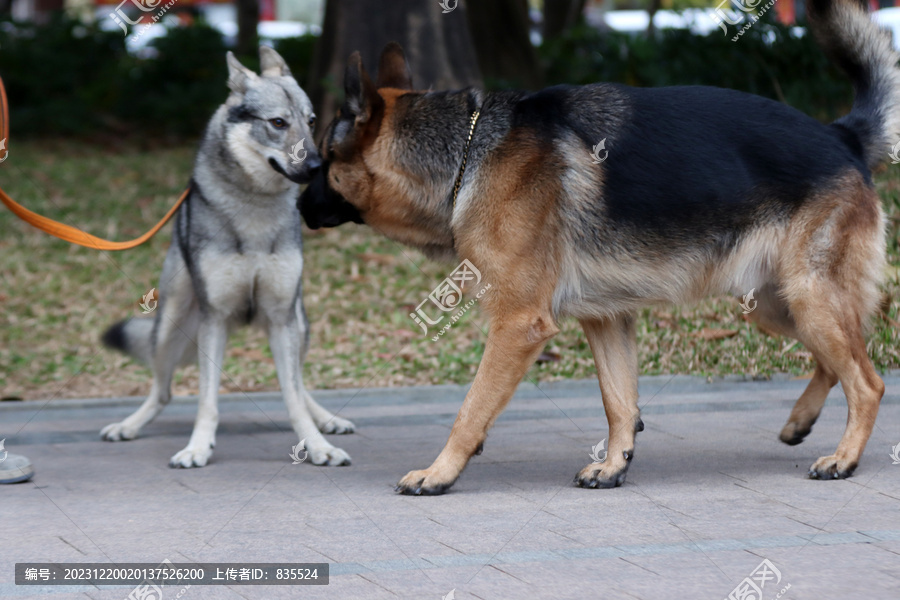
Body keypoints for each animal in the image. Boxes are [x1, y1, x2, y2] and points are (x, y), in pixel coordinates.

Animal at [97, 47, 352, 468]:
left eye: (311, 120)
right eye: (278, 122)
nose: (320, 168)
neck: (255, 210)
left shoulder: (280, 319)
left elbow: (294, 399)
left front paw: (317, 445)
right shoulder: (213, 319)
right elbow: (207, 401)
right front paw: (198, 448)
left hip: (297, 326)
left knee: (300, 386)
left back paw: (329, 419)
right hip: (169, 329)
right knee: (162, 391)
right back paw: (128, 425)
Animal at [300, 0, 892, 494]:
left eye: (323, 160)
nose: (298, 198)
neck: (469, 153)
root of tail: (842, 135)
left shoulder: (518, 324)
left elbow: (470, 410)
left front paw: (439, 472)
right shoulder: (605, 320)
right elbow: (618, 402)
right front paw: (613, 464)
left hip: (806, 298)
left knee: (868, 381)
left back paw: (843, 458)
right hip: (776, 306)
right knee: (838, 362)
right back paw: (801, 422)